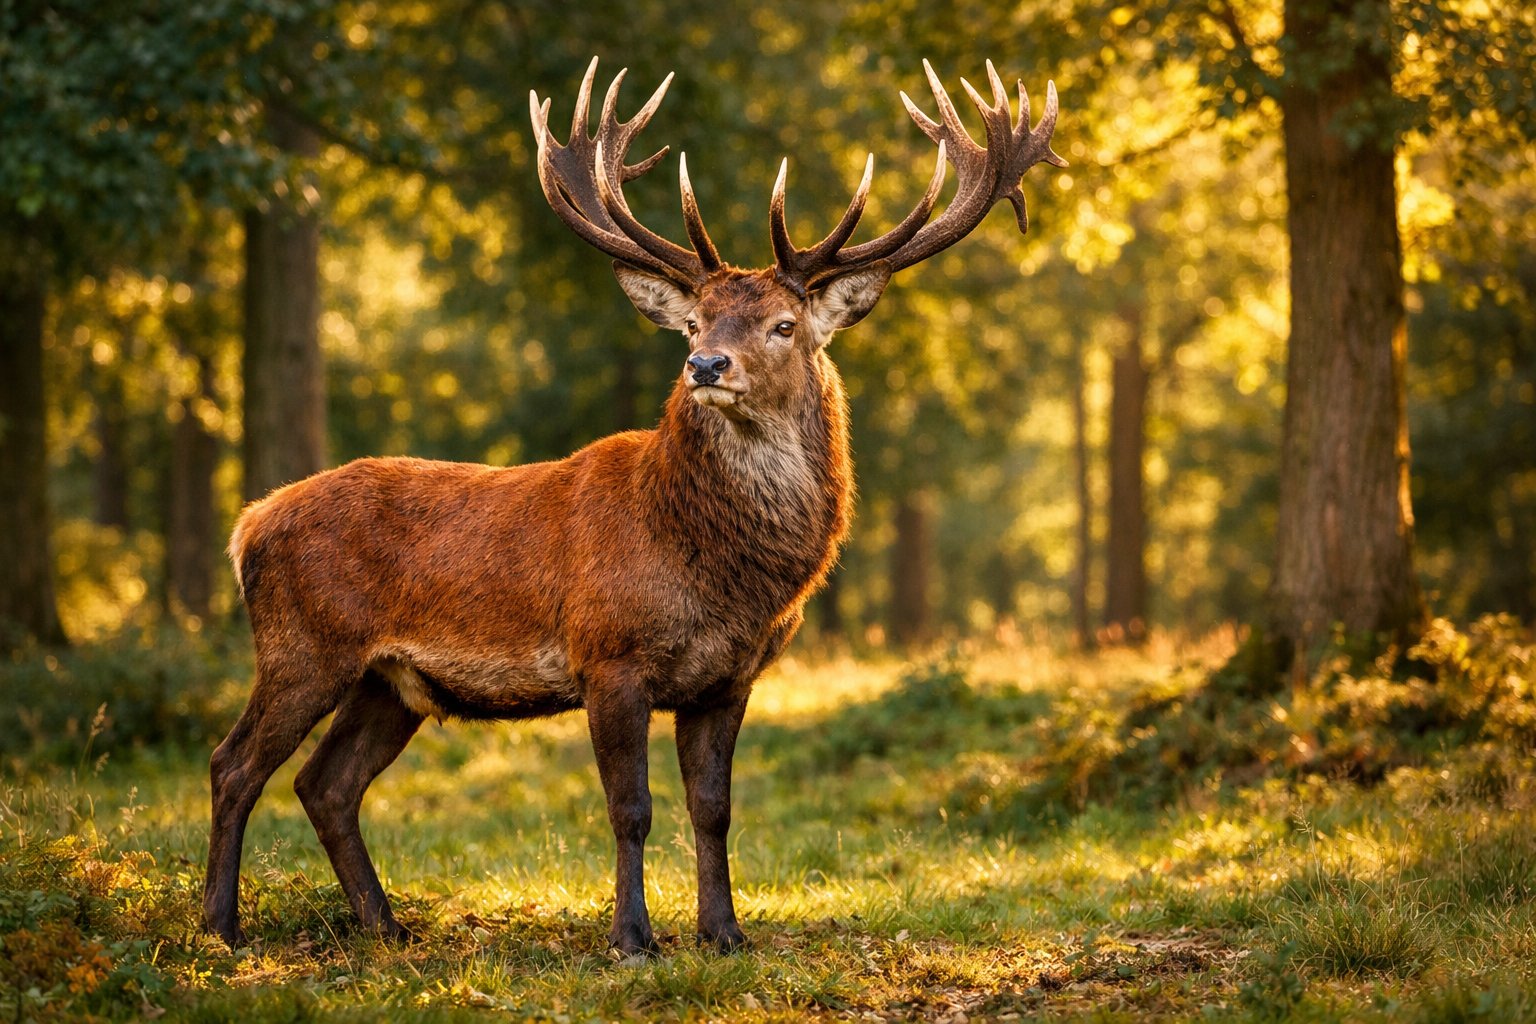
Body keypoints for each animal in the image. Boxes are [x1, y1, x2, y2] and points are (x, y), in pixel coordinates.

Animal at [203, 56, 1064, 954]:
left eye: (784, 324)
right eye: (693, 320)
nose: (707, 365)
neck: (720, 571)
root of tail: (248, 525)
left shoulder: (730, 677)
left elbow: (713, 809)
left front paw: (724, 932)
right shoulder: (609, 656)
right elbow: (631, 809)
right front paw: (632, 938)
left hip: (389, 682)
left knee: (325, 783)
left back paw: (386, 926)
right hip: (304, 643)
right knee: (234, 763)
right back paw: (221, 926)